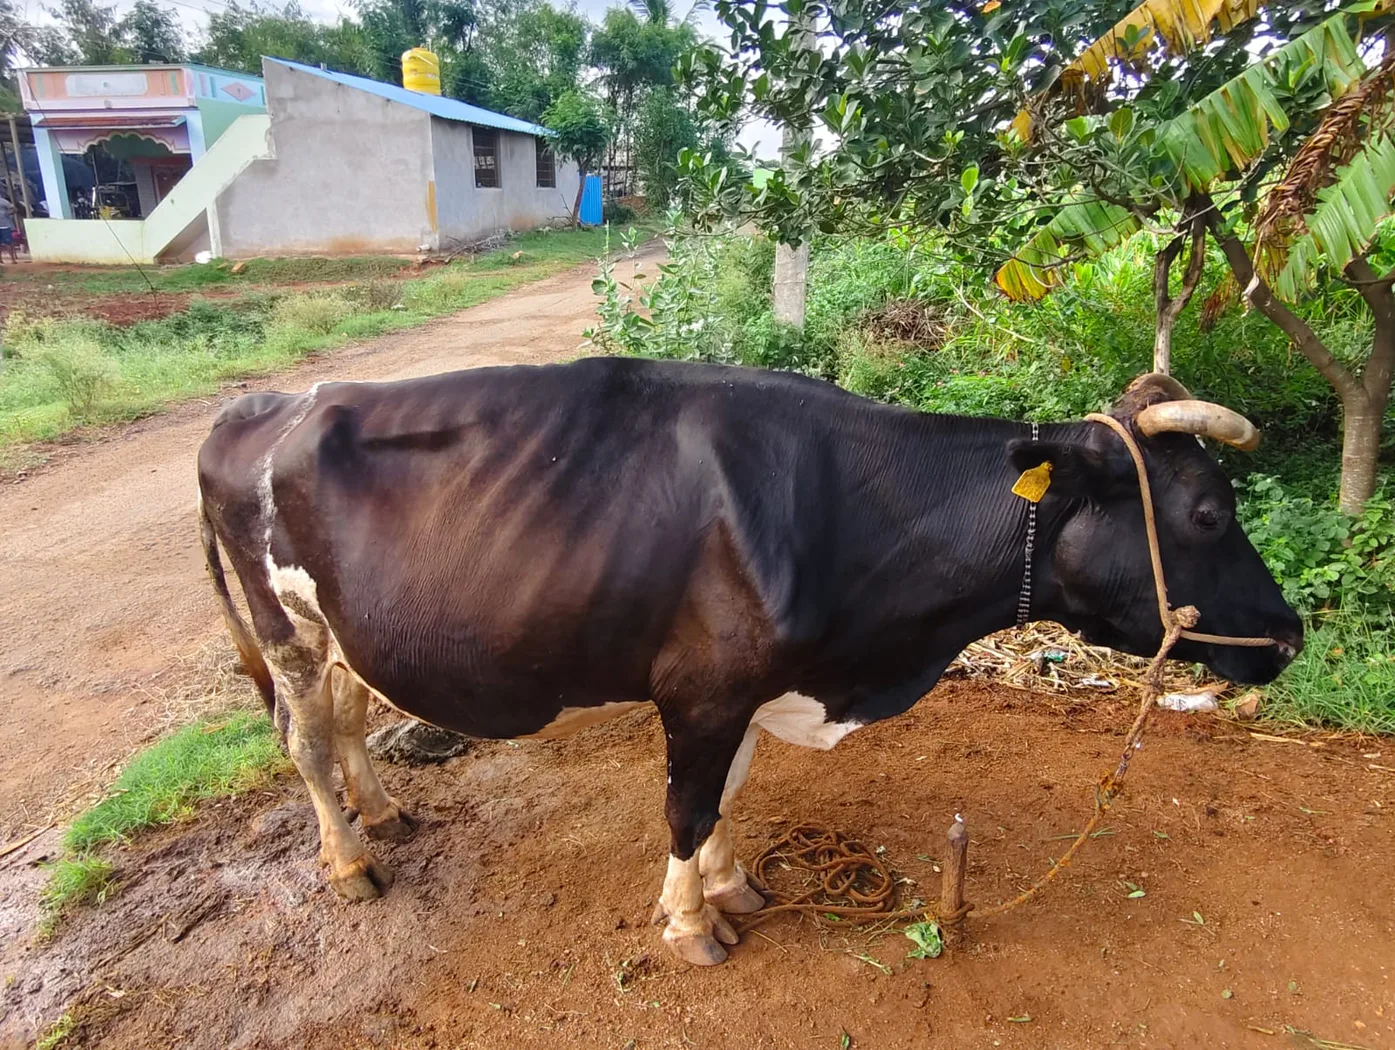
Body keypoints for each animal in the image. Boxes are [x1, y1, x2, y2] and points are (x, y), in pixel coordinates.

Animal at [196, 358, 1302, 966]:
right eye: (1210, 511)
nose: (1289, 637)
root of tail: (257, 407)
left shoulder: (749, 692)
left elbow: (727, 794)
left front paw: (731, 890)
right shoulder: (704, 689)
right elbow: (689, 806)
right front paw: (689, 925)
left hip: (343, 629)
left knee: (347, 714)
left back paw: (383, 811)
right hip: (284, 626)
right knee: (302, 738)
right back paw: (350, 860)